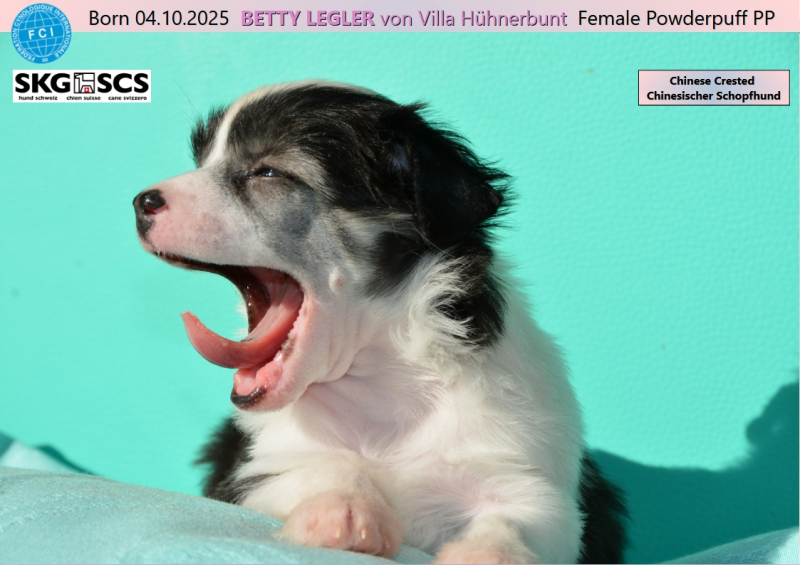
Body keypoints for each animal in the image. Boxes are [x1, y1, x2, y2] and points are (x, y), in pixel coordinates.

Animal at [133, 81, 627, 564]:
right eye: (202, 162)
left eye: (268, 173)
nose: (141, 202)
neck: (375, 380)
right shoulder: (254, 470)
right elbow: (323, 465)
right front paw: (343, 511)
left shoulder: (538, 486)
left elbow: (515, 519)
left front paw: (490, 553)